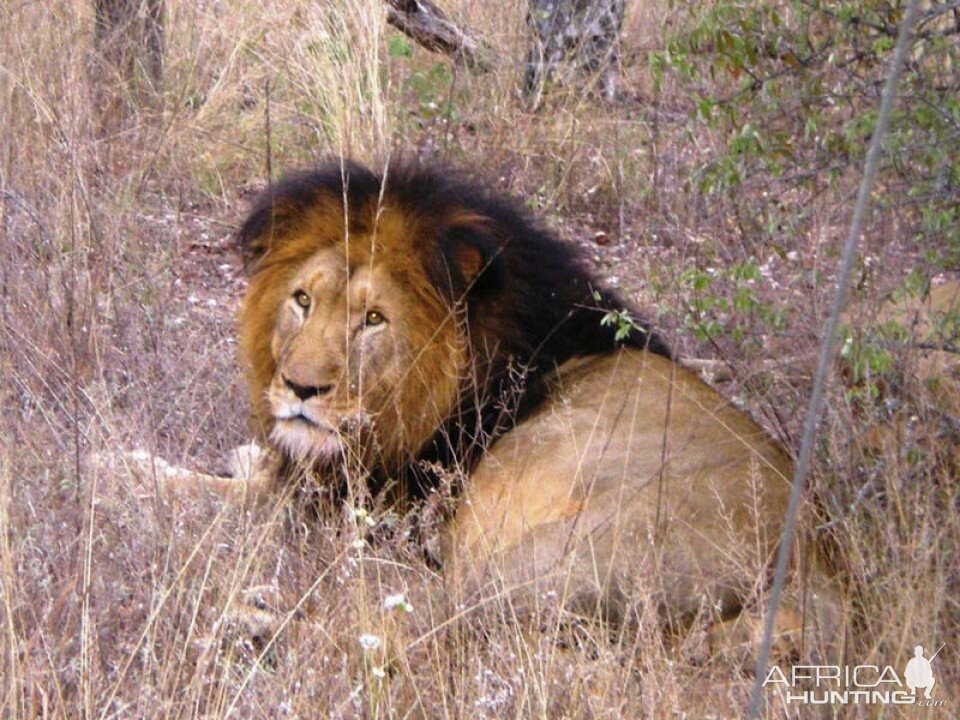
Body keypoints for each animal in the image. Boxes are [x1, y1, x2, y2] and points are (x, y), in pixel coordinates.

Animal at [225, 159, 840, 660]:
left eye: (374, 319)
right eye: (302, 301)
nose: (299, 388)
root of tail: (823, 571)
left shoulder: (370, 507)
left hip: (553, 558)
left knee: (411, 623)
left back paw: (254, 620)